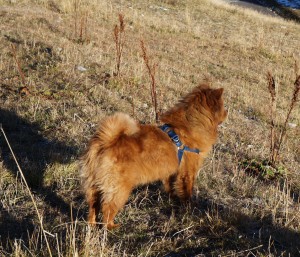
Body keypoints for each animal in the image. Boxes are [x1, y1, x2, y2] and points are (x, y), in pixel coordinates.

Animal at [80, 84, 227, 228]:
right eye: (223, 106)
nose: (227, 112)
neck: (192, 123)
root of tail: (107, 141)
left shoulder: (172, 172)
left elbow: (171, 187)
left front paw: (173, 200)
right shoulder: (188, 172)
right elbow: (187, 191)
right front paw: (189, 208)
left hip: (94, 184)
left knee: (93, 206)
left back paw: (91, 225)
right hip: (119, 189)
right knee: (107, 208)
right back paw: (111, 226)